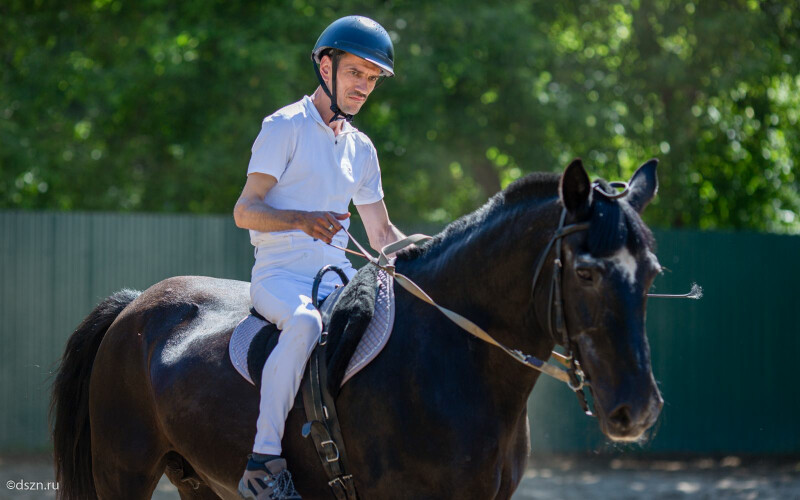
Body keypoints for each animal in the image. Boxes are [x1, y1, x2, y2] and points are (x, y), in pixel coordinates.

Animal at [48, 158, 664, 498]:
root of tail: (135, 306)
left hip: (199, 478)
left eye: (653, 273)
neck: (451, 360)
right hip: (123, 471)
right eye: (585, 272)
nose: (637, 410)